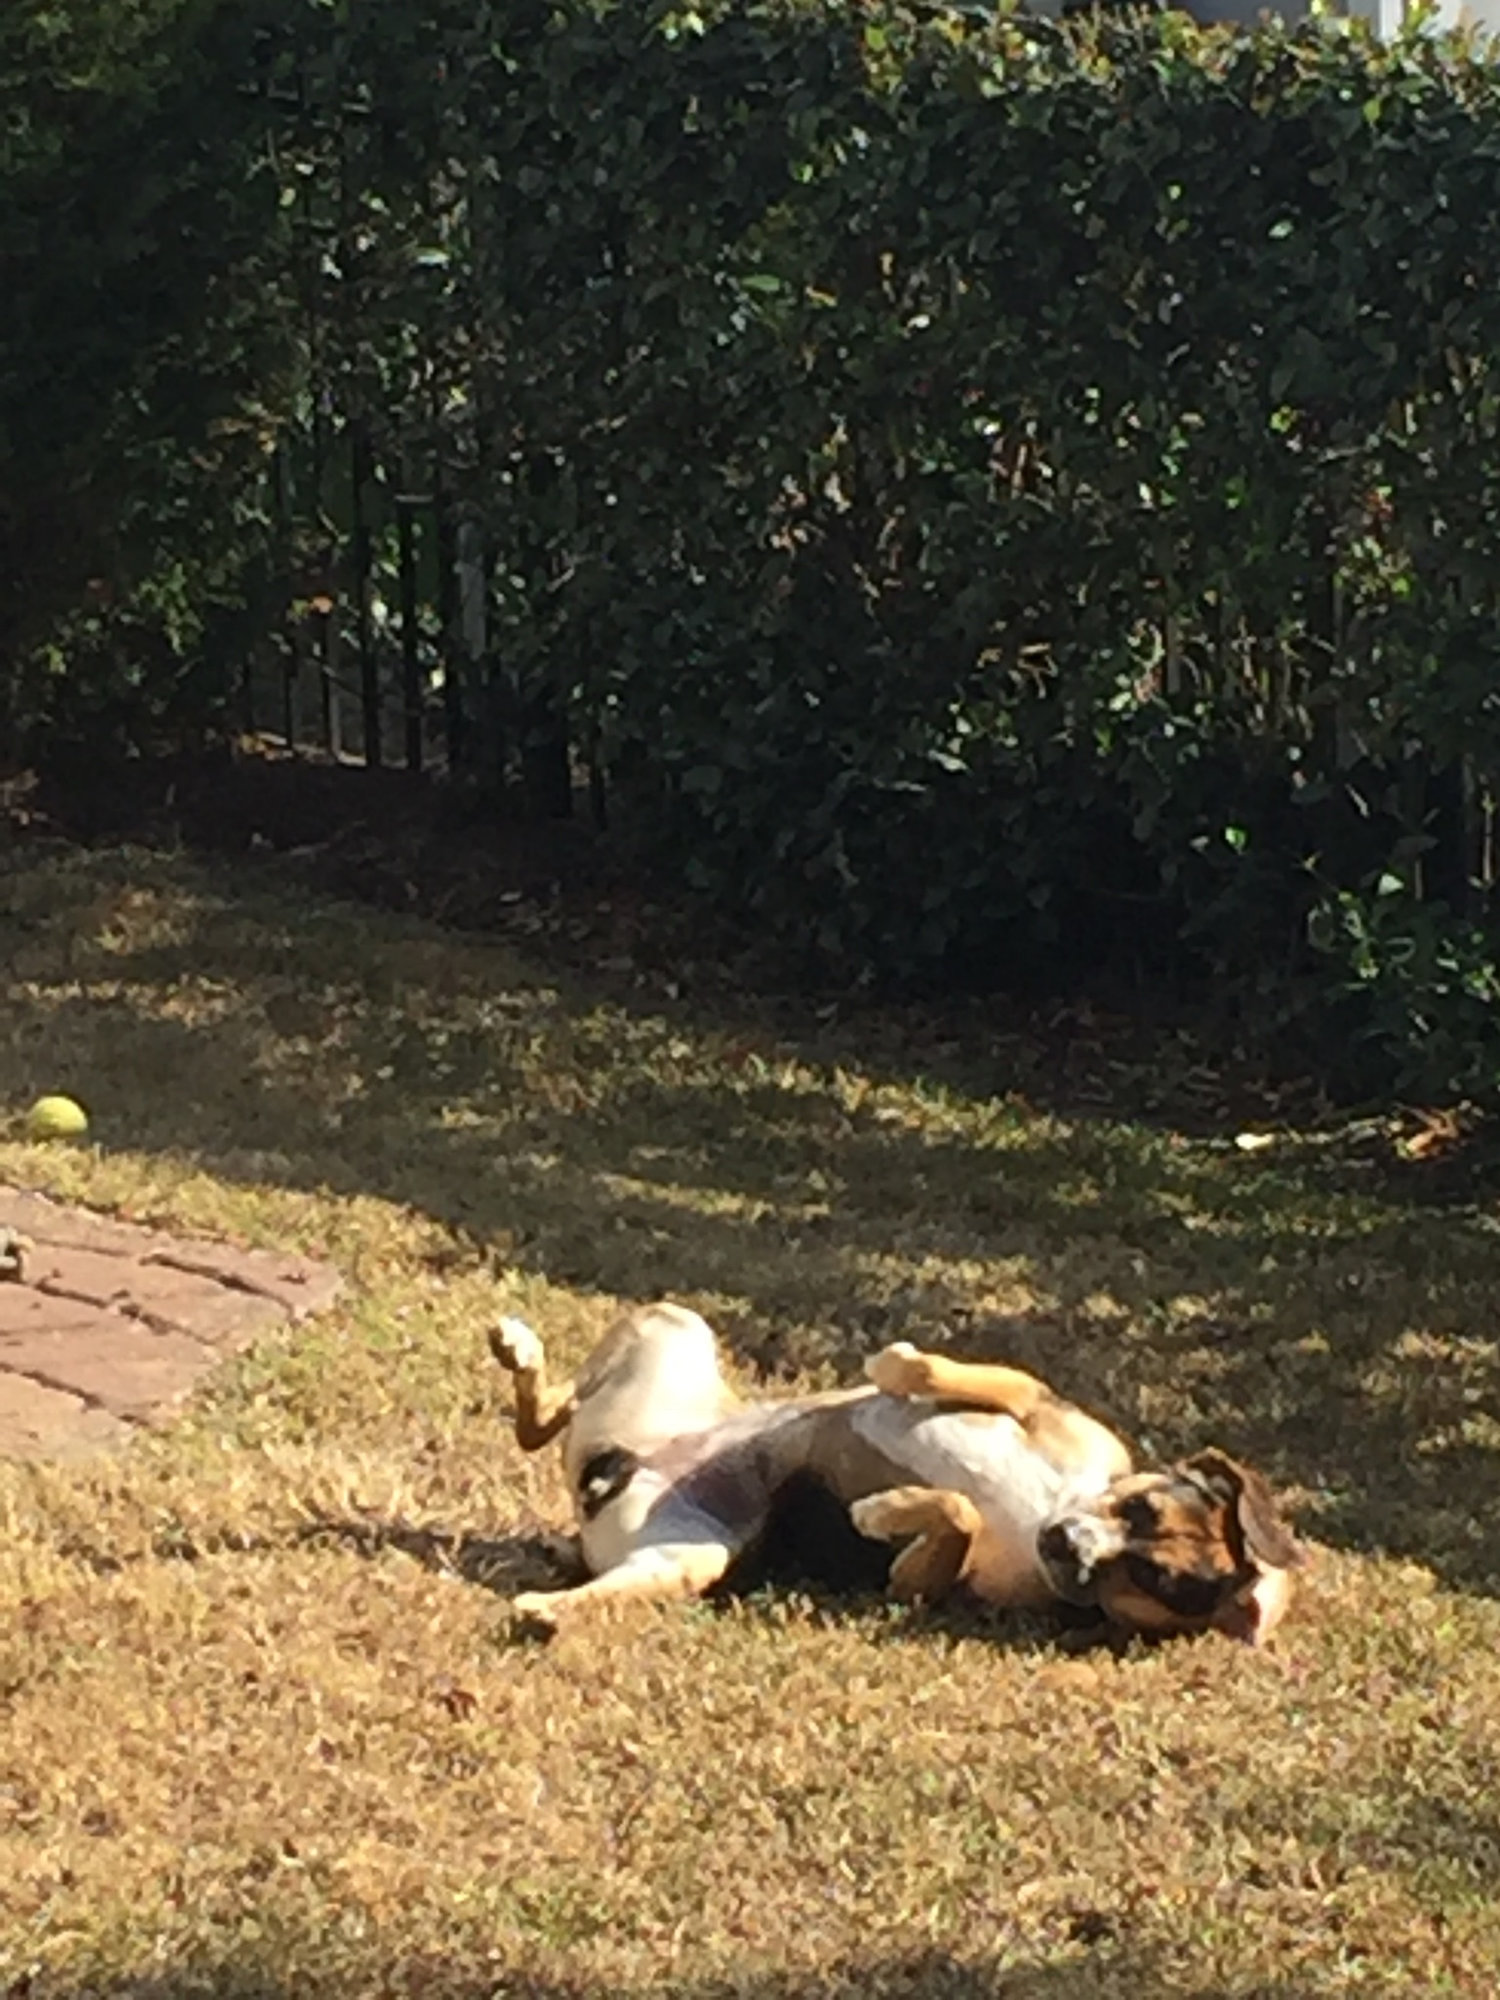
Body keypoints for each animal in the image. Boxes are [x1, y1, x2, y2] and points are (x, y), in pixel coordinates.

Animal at [490, 1303, 1301, 1645]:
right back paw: (518, 1350)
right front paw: (894, 1366)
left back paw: (548, 1610)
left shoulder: (915, 1586)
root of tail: (617, 1475)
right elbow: (957, 1377)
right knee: (548, 1415)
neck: (1048, 1509)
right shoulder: (1037, 1404)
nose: (1069, 1547)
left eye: (1155, 1581)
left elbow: (955, 1516)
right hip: (674, 1324)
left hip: (689, 1555)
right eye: (1143, 1512)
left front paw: (883, 1510)